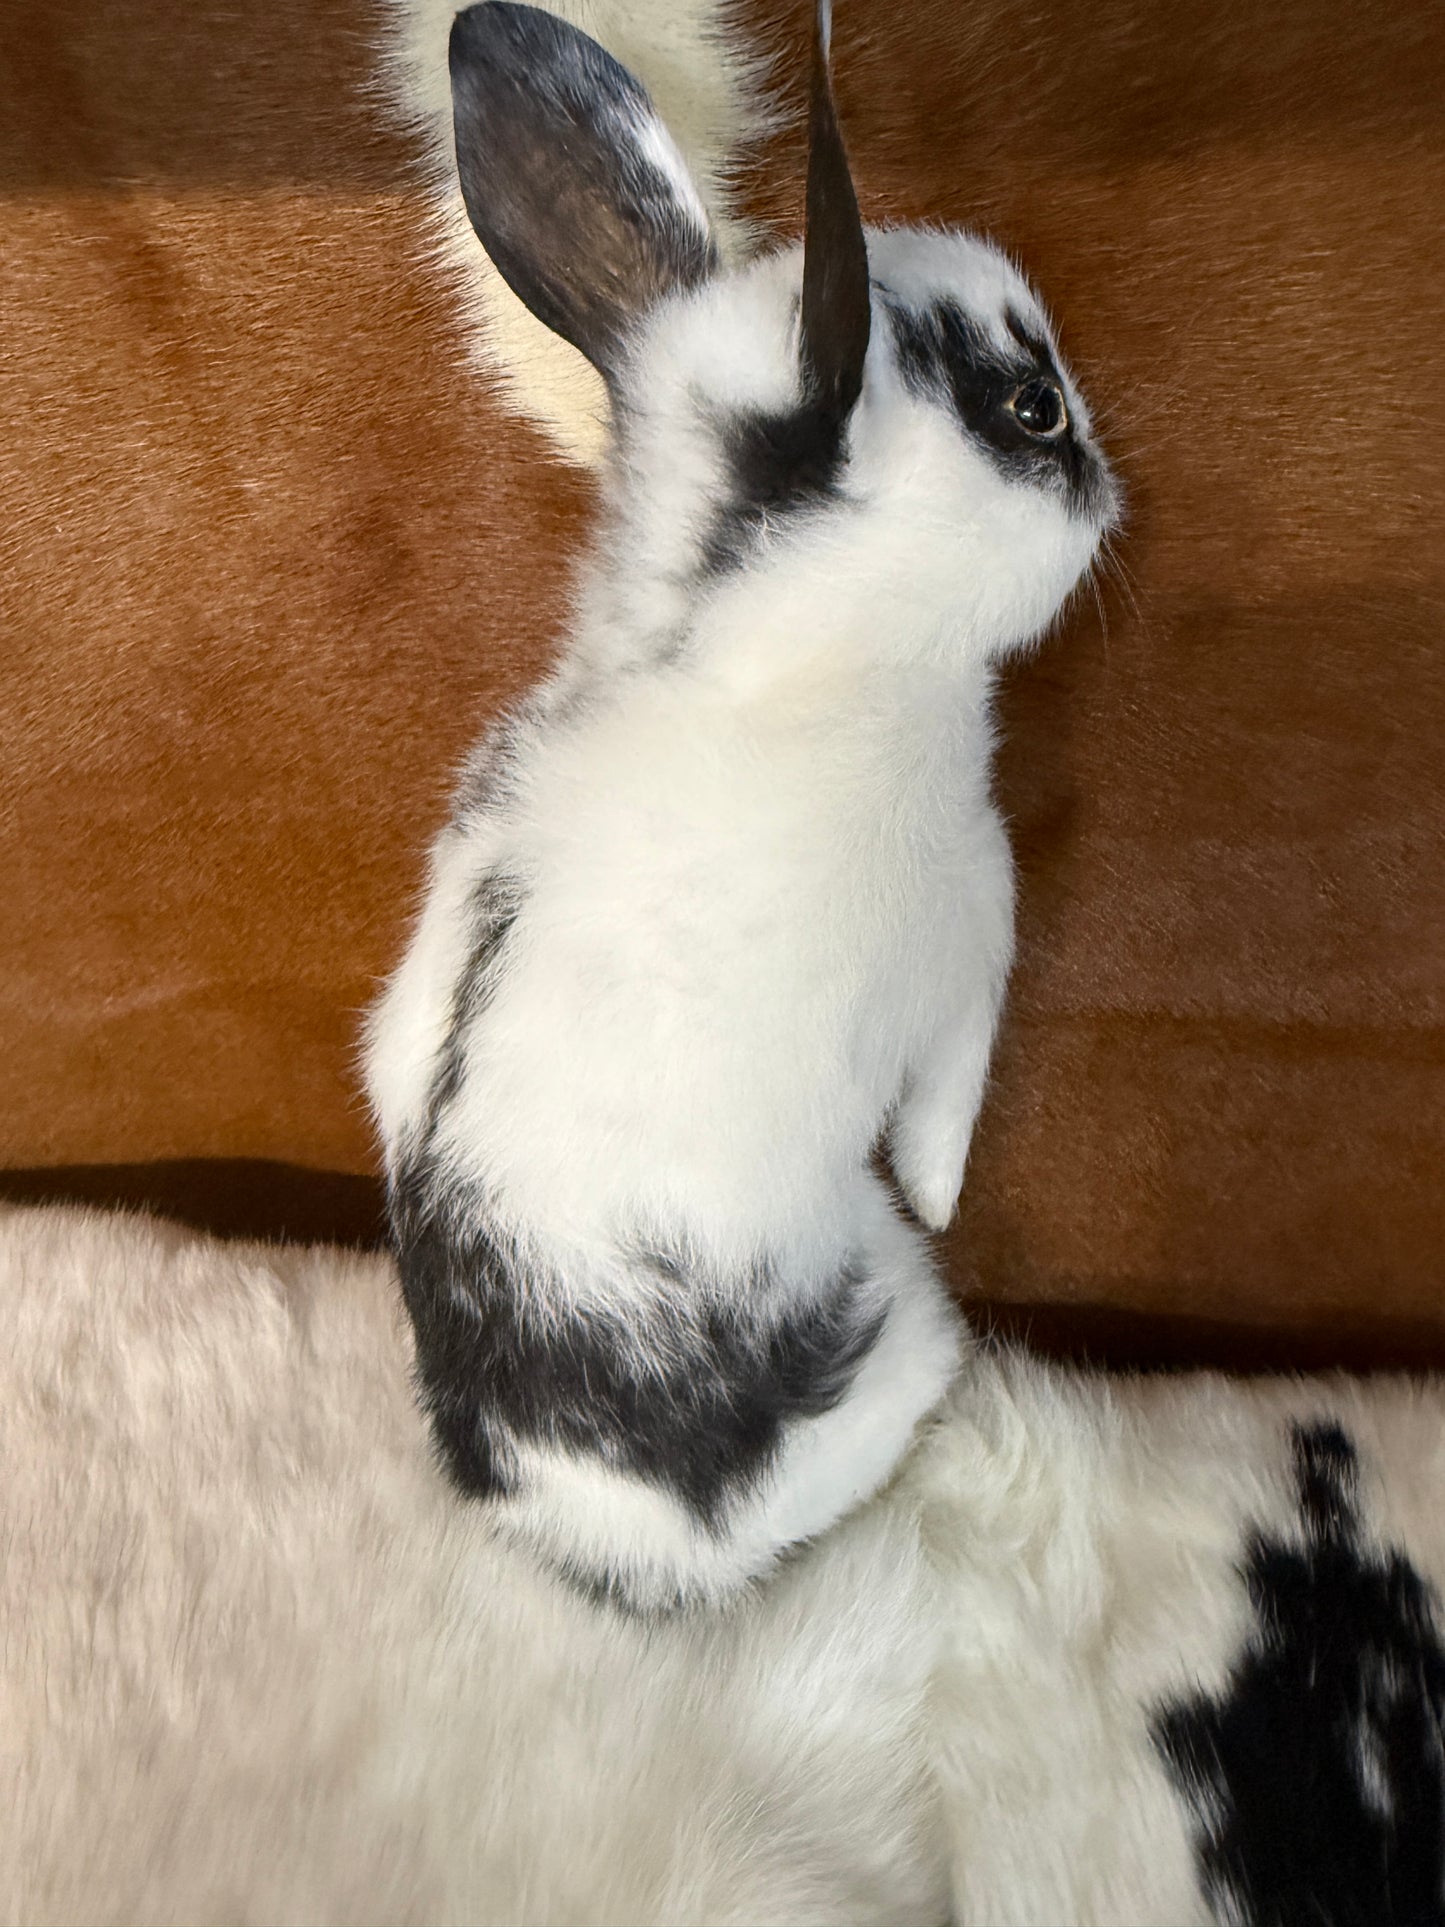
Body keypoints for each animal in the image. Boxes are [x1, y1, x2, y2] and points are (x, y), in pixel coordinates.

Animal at [364, 0, 1120, 1611]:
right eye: (1029, 404)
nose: (1105, 485)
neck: (780, 655)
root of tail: (650, 1544)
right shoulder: (969, 944)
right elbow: (949, 1105)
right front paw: (949, 1186)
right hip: (896, 1308)